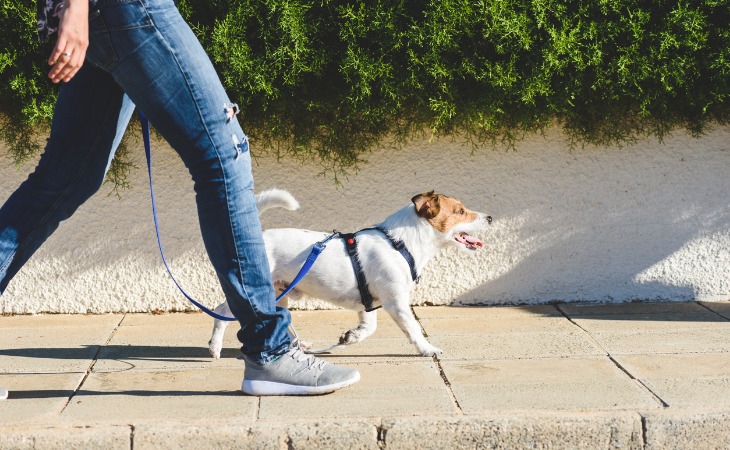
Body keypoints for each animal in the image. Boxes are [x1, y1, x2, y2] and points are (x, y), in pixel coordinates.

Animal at [205, 188, 490, 356]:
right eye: (460, 211)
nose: (489, 218)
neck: (400, 243)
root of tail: (258, 238)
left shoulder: (369, 303)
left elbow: (368, 327)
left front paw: (351, 337)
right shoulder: (396, 303)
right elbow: (414, 329)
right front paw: (427, 349)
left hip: (278, 294)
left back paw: (301, 346)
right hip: (256, 291)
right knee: (221, 312)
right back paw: (215, 347)